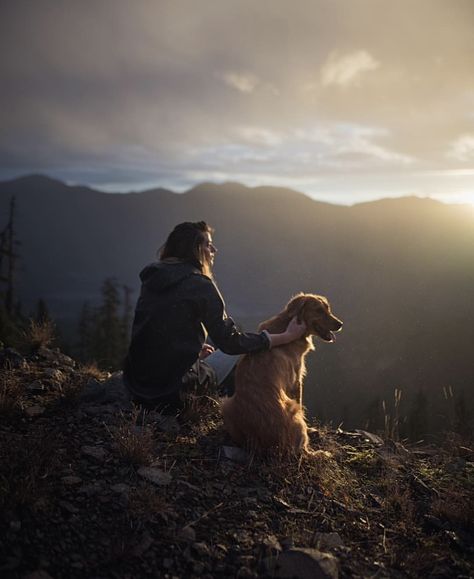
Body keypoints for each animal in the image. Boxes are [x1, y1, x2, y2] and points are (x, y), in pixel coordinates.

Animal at [220, 296, 342, 456]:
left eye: (328, 308)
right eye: (318, 310)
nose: (340, 324)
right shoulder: (296, 381)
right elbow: (301, 403)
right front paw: (309, 429)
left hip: (226, 405)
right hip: (293, 409)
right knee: (303, 451)